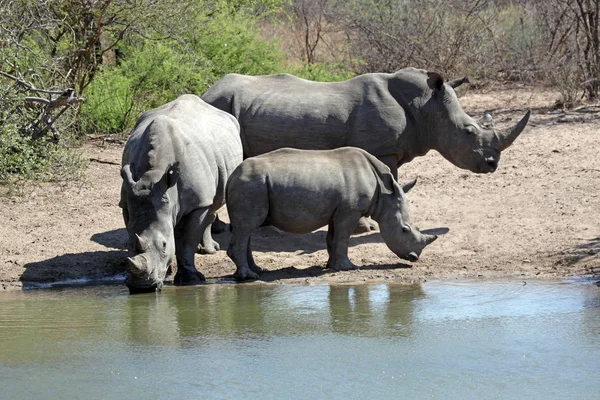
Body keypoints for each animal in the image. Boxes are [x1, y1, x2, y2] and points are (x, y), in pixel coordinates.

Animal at [119, 94, 241, 294]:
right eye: (129, 245)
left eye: (163, 245)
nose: (141, 288)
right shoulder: (128, 200)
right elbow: (134, 229)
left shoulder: (198, 202)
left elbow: (187, 241)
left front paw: (190, 279)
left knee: (212, 205)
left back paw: (209, 250)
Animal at [225, 145, 436, 280]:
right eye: (404, 230)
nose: (414, 258)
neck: (384, 195)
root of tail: (231, 176)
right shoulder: (351, 210)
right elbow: (343, 237)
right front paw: (348, 267)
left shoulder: (340, 210)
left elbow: (333, 237)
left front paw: (331, 265)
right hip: (251, 184)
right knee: (247, 226)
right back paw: (249, 276)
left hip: (251, 185)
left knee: (246, 227)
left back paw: (256, 270)